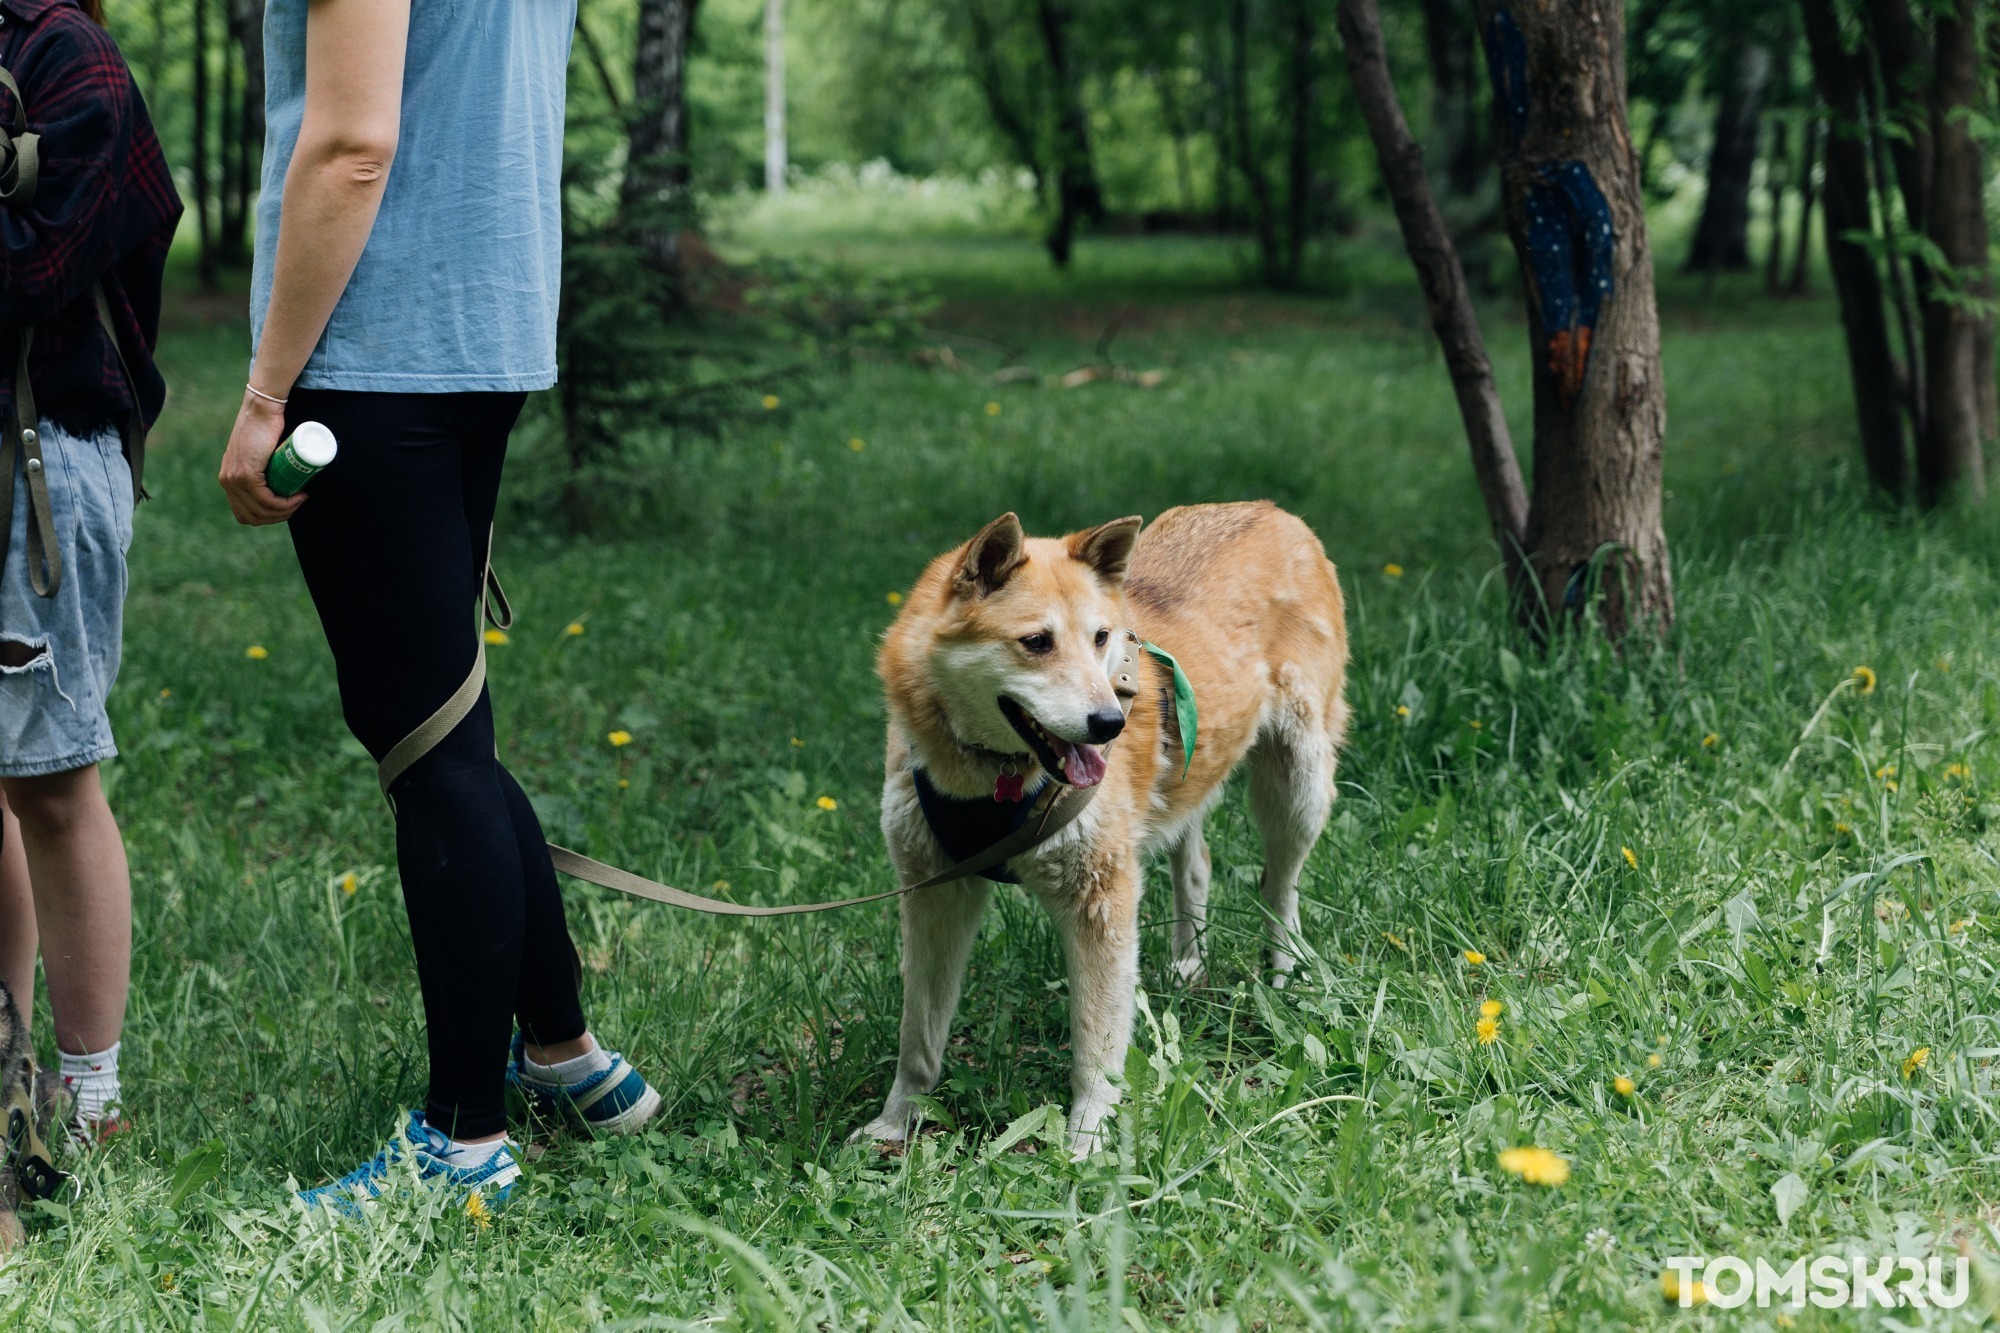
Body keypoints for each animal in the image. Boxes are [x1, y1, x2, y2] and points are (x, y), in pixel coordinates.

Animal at [852, 500, 1352, 1152]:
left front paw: (1087, 1140)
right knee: (1196, 867)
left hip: (1297, 786)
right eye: (1036, 642)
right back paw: (1188, 964)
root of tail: (1269, 510)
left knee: (1279, 887)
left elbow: (1096, 1045)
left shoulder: (1099, 899)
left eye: (1100, 638)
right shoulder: (936, 892)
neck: (995, 780)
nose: (1112, 722)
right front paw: (897, 1122)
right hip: (1189, 784)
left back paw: (1285, 972)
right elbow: (919, 1036)